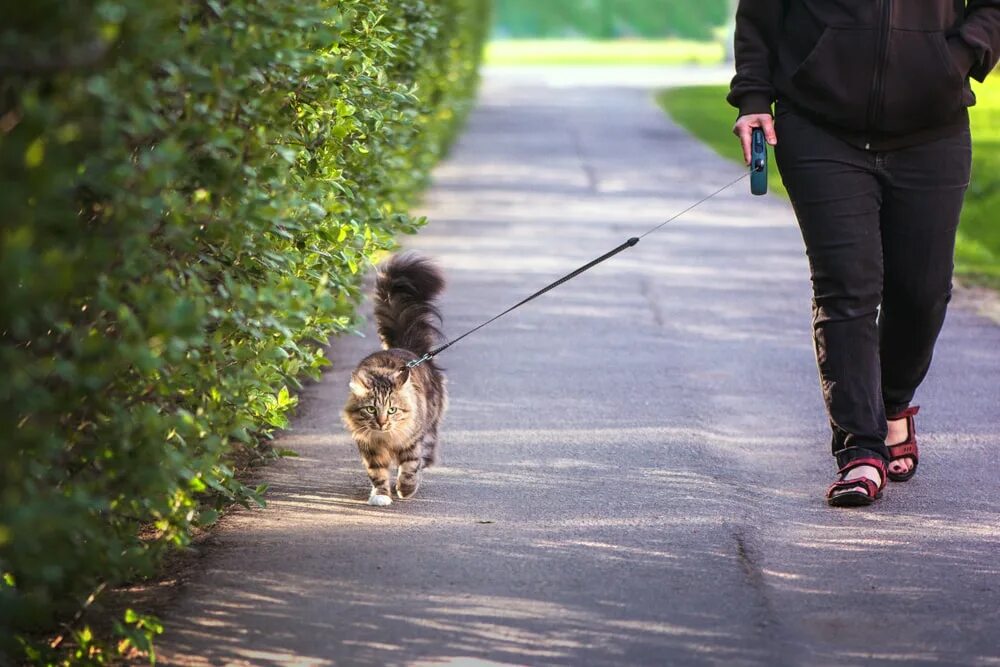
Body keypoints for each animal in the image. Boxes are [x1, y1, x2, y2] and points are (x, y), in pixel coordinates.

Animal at [346, 253, 452, 508]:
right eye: (371, 409)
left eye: (392, 410)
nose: (382, 422)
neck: (386, 438)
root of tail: (406, 348)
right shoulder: (369, 447)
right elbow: (377, 473)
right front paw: (381, 494)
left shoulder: (411, 441)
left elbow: (410, 467)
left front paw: (405, 489)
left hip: (429, 429)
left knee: (425, 457)